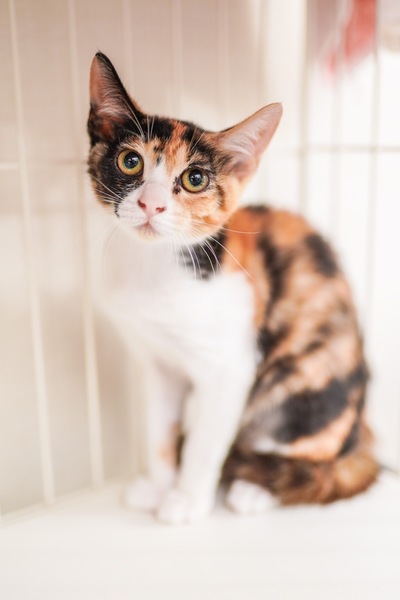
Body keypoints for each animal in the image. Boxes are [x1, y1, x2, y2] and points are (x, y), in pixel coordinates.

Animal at [87, 52, 378, 524]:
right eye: (131, 162)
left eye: (195, 179)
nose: (151, 204)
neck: (155, 269)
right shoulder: (158, 365)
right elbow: (159, 429)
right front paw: (159, 485)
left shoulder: (230, 367)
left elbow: (205, 442)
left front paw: (186, 499)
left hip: (307, 383)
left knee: (317, 455)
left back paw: (257, 487)